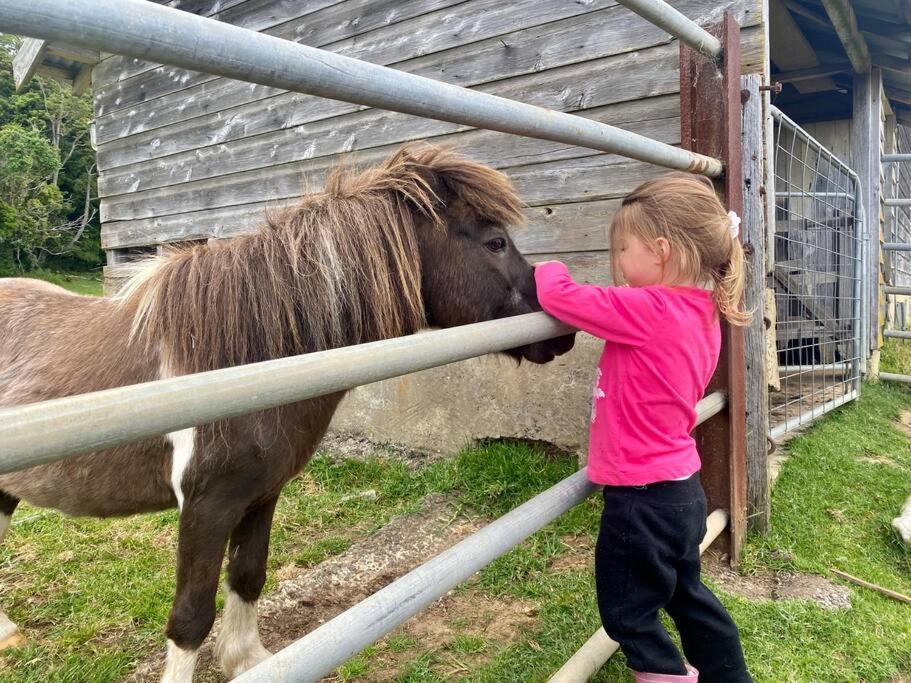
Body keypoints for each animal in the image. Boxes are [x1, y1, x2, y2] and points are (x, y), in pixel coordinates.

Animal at [0, 146, 572, 683]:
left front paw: (246, 660)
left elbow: (248, 576)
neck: (246, 363)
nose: (562, 332)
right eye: (495, 242)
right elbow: (190, 618)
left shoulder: (261, 494)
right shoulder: (206, 508)